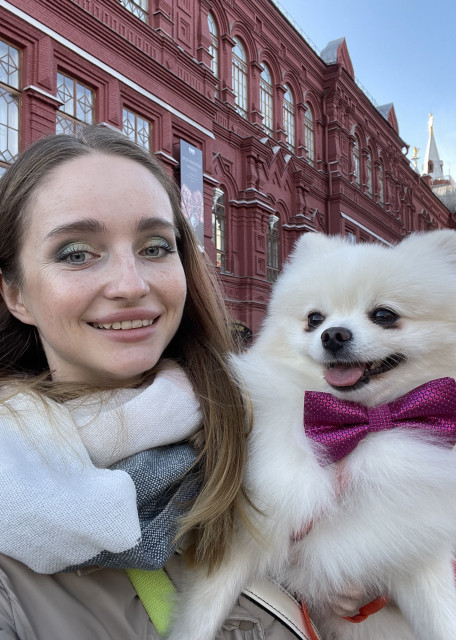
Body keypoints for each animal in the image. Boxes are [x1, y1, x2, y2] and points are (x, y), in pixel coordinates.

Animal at [168, 230, 456, 640]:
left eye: (384, 315)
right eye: (314, 319)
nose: (333, 335)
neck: (358, 427)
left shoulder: (413, 548)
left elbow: (442, 615)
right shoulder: (245, 535)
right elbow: (201, 615)